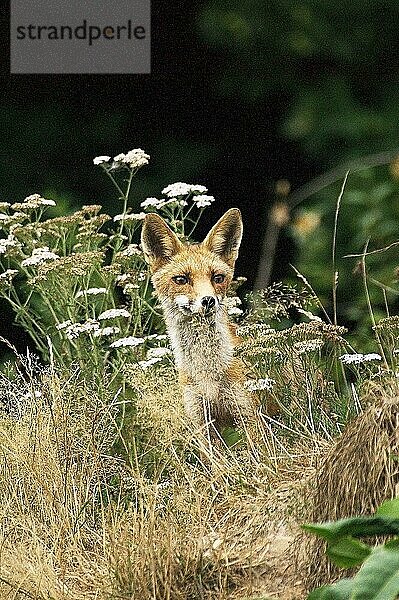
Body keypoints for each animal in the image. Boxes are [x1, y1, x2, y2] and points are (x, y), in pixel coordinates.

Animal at [142, 206, 258, 436]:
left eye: (218, 278)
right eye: (181, 280)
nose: (208, 300)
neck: (207, 375)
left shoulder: (250, 416)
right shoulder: (201, 422)